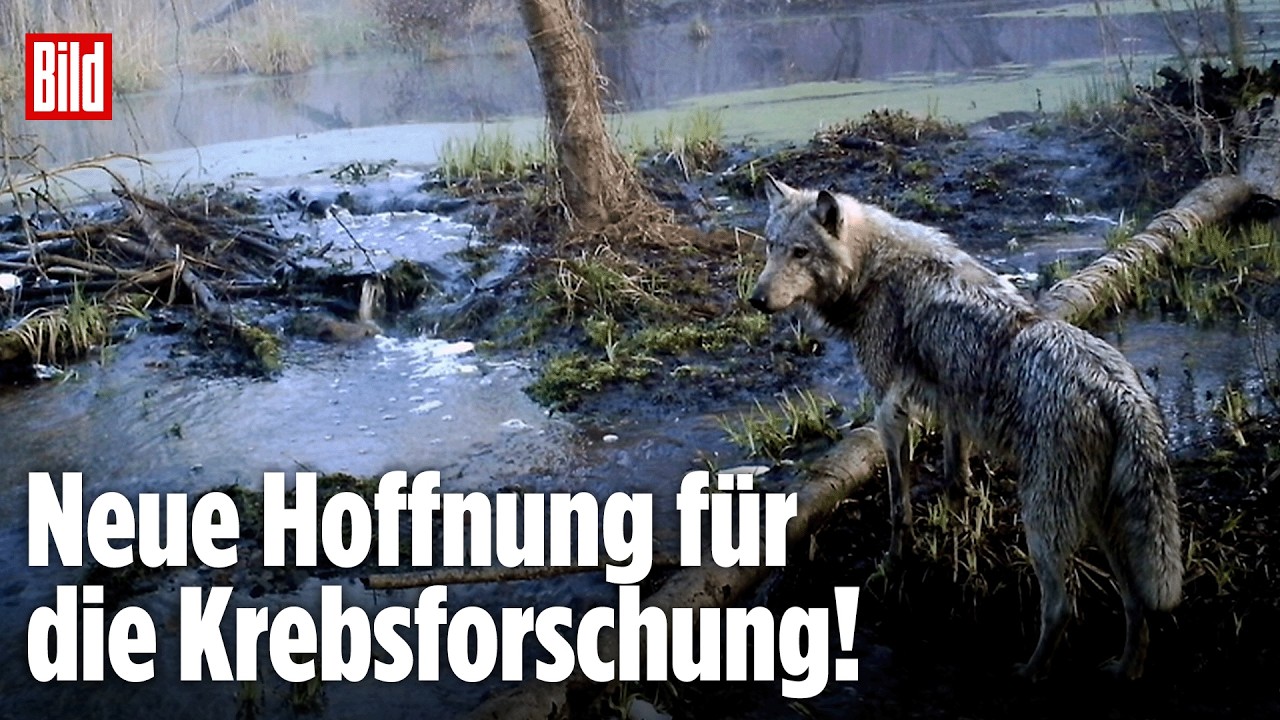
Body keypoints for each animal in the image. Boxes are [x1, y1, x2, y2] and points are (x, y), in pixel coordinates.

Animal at [748, 176, 1183, 681]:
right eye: (771, 246)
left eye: (800, 253)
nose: (756, 300)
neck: (872, 269)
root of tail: (1117, 389)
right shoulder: (951, 407)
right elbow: (955, 480)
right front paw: (955, 544)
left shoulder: (890, 412)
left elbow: (898, 505)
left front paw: (894, 564)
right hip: (1100, 521)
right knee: (1136, 605)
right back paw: (1124, 669)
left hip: (1043, 524)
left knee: (1061, 608)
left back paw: (1028, 673)